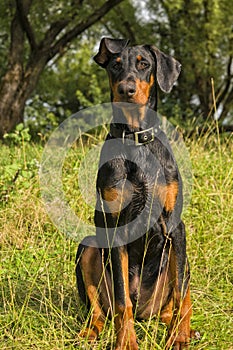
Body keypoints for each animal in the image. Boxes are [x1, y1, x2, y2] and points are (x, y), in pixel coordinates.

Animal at [75, 37, 198, 348]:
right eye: (115, 66)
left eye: (144, 64)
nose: (126, 90)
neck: (136, 140)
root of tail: (146, 313)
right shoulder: (116, 226)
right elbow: (121, 300)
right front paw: (126, 342)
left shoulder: (175, 225)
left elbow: (181, 293)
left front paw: (179, 337)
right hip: (88, 247)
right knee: (100, 310)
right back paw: (90, 332)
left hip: (181, 259)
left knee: (175, 299)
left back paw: (183, 328)